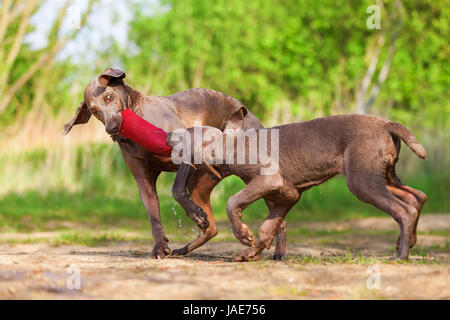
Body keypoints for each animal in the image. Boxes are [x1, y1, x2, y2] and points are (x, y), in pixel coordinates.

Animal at [62, 67, 292, 258]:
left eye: (109, 96)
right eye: (94, 110)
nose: (112, 128)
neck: (138, 113)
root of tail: (250, 114)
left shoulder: (187, 148)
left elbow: (176, 189)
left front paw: (194, 214)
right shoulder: (143, 180)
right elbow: (154, 215)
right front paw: (160, 247)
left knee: (279, 220)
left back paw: (277, 253)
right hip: (200, 182)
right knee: (211, 229)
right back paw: (184, 249)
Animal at [168, 116, 426, 262]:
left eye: (184, 136)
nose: (167, 134)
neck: (232, 145)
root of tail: (386, 124)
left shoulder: (268, 181)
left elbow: (233, 203)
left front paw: (244, 235)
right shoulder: (287, 195)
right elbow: (269, 227)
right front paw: (251, 253)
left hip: (363, 181)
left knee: (404, 211)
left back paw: (400, 256)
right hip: (384, 177)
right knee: (417, 198)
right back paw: (407, 242)